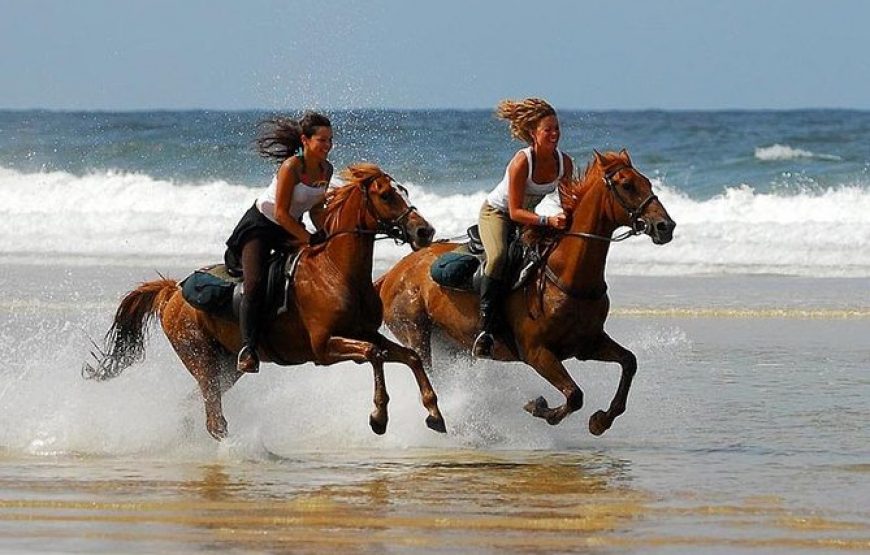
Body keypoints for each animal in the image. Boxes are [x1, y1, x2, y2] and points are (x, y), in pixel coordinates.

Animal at [85, 163, 447, 440]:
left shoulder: (365, 332)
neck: (335, 271)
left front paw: (433, 413)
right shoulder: (323, 348)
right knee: (214, 419)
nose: (425, 232)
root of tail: (172, 291)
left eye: (405, 192)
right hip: (200, 358)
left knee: (196, 408)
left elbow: (408, 356)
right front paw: (378, 417)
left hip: (227, 367)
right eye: (386, 195)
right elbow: (375, 355)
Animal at [375, 150, 676, 436]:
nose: (666, 227)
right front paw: (539, 407)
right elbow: (574, 395)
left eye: (647, 182)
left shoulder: (588, 344)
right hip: (416, 333)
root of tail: (392, 273)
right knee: (430, 374)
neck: (567, 276)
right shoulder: (537, 353)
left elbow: (629, 362)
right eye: (627, 185)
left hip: (453, 345)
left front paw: (601, 420)